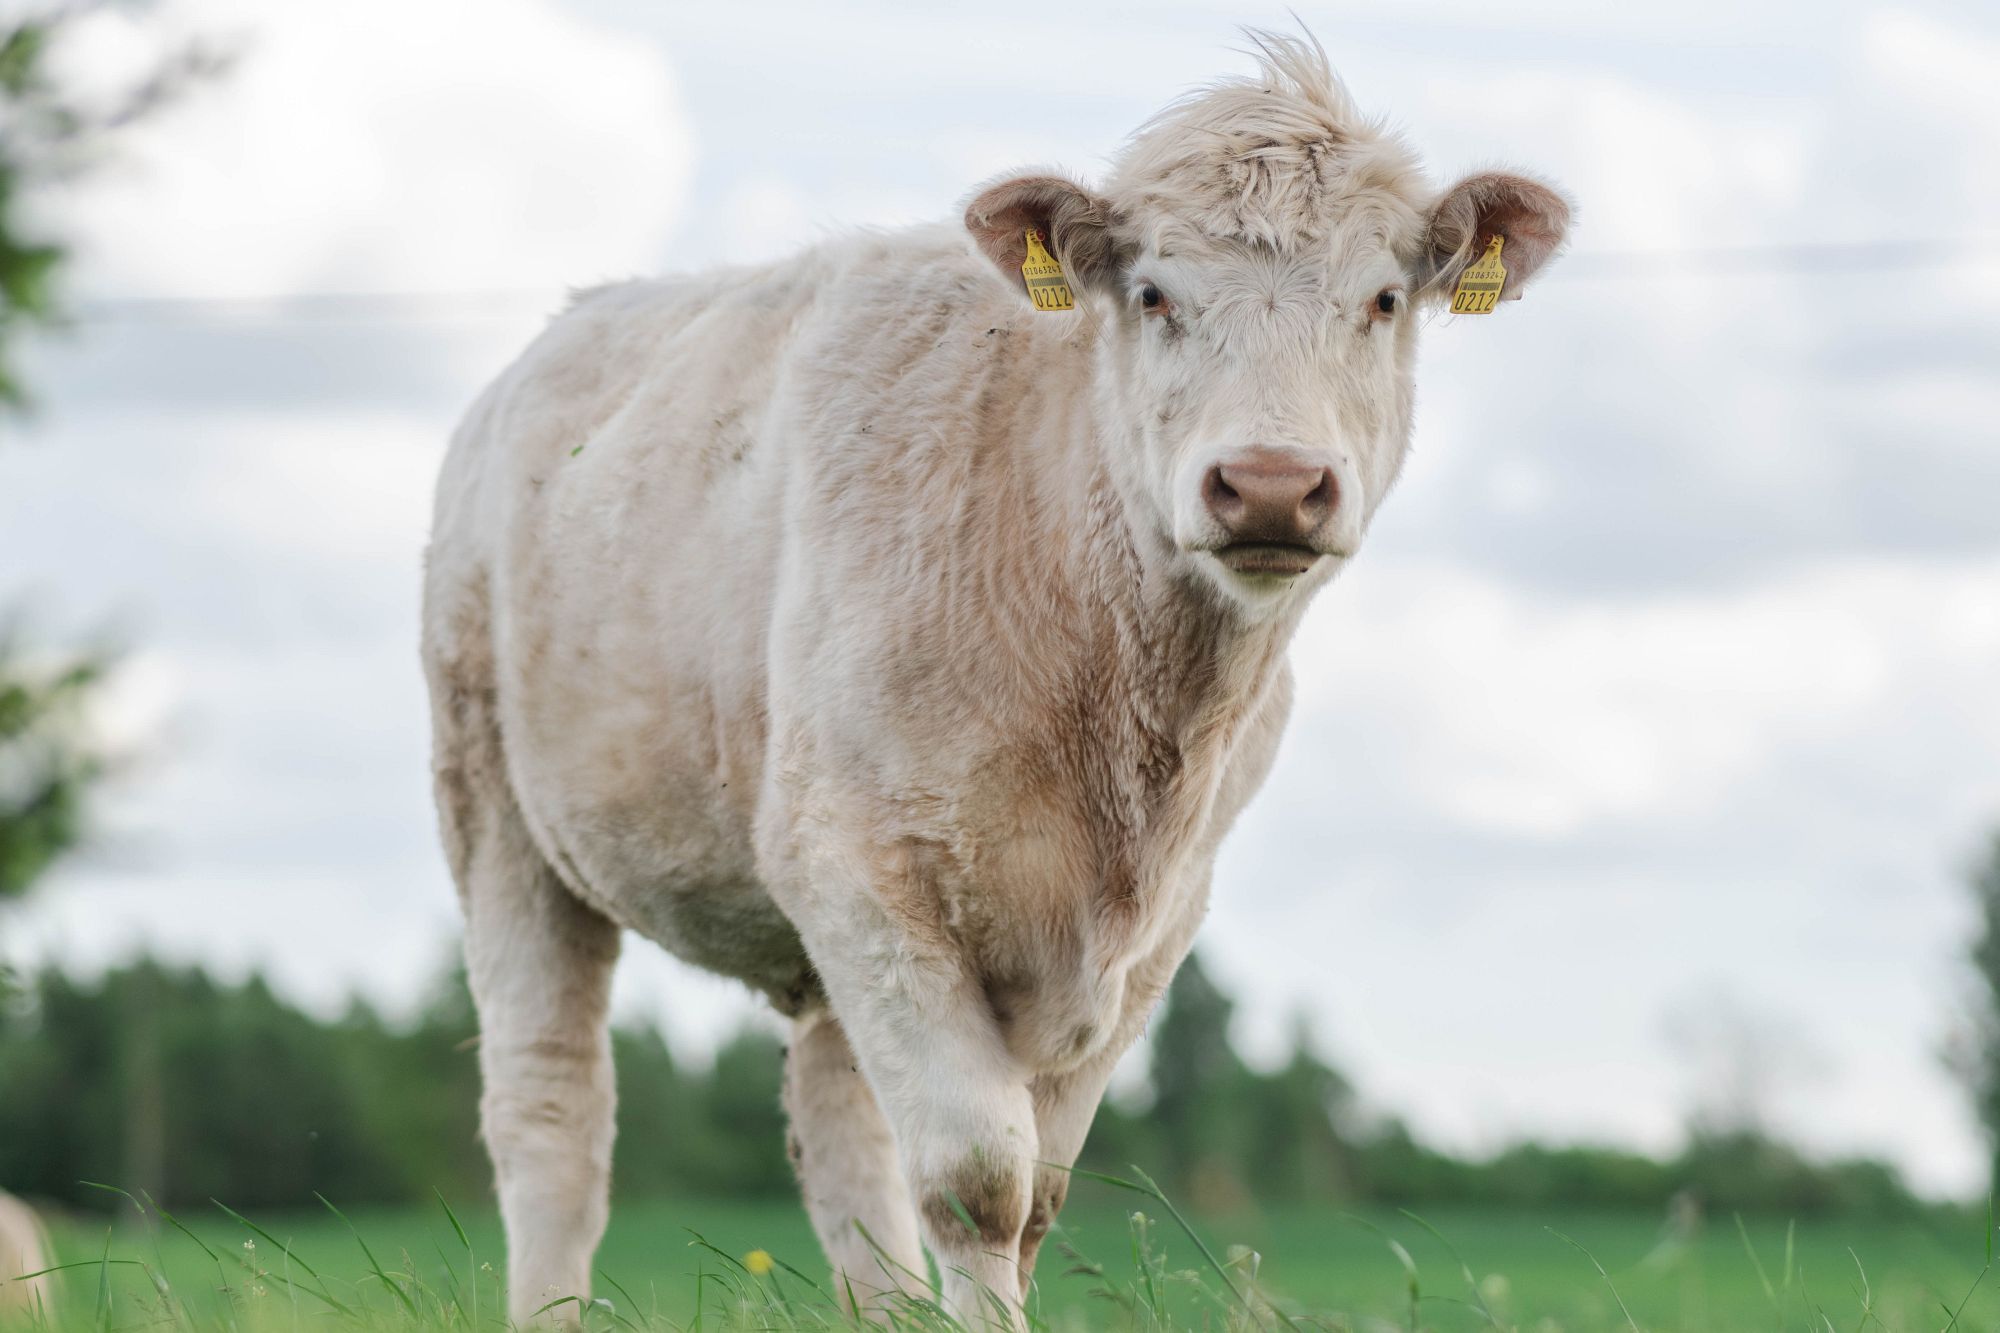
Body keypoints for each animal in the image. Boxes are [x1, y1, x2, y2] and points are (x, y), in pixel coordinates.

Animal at [422, 30, 1569, 1325]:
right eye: (1153, 295)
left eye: (1380, 299)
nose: (1270, 483)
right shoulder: (857, 864)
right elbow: (978, 1184)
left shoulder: (1151, 926)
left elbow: (1035, 1202)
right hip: (499, 815)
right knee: (552, 1116)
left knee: (837, 1126)